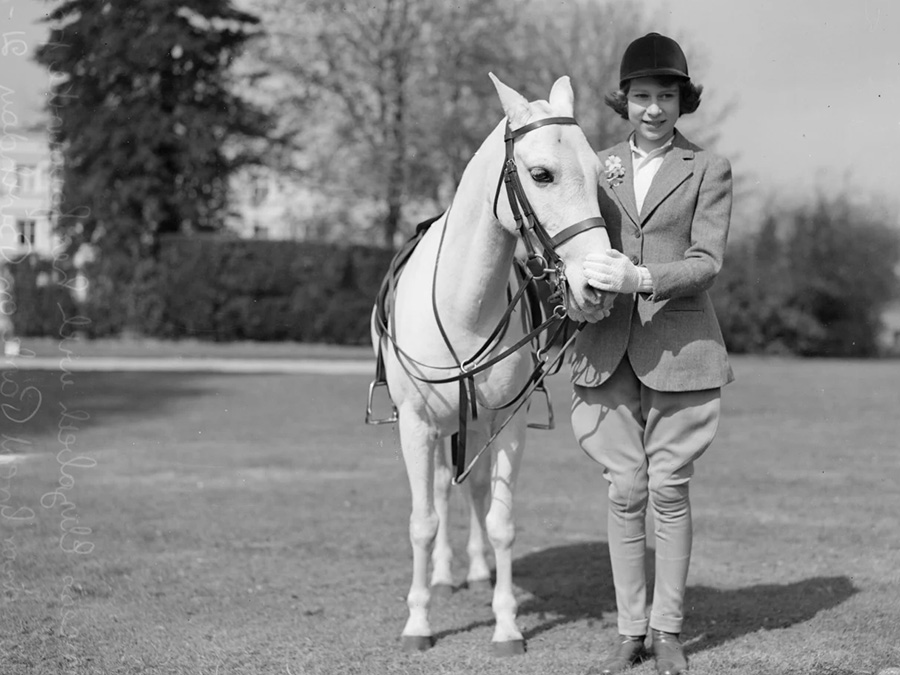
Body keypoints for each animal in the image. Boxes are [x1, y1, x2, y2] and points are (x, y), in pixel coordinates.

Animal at [370, 74, 612, 656]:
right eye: (542, 173)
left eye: (600, 176)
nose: (596, 286)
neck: (464, 309)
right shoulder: (416, 426)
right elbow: (423, 520)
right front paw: (419, 622)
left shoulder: (509, 424)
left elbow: (500, 521)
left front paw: (506, 626)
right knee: (440, 491)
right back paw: (442, 575)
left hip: (477, 425)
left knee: (475, 491)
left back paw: (477, 571)